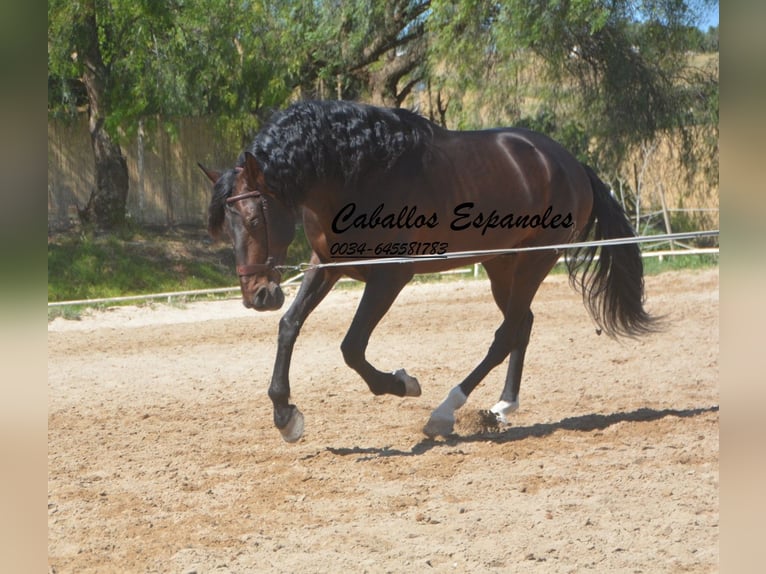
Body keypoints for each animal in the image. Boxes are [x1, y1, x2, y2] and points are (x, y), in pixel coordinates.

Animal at [198, 101, 656, 446]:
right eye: (226, 226)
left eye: (255, 219)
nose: (257, 295)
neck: (355, 173)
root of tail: (570, 162)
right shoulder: (327, 265)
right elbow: (289, 326)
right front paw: (285, 415)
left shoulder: (390, 276)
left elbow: (352, 348)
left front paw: (404, 384)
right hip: (501, 264)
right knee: (521, 325)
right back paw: (500, 408)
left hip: (534, 261)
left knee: (506, 333)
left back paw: (444, 412)